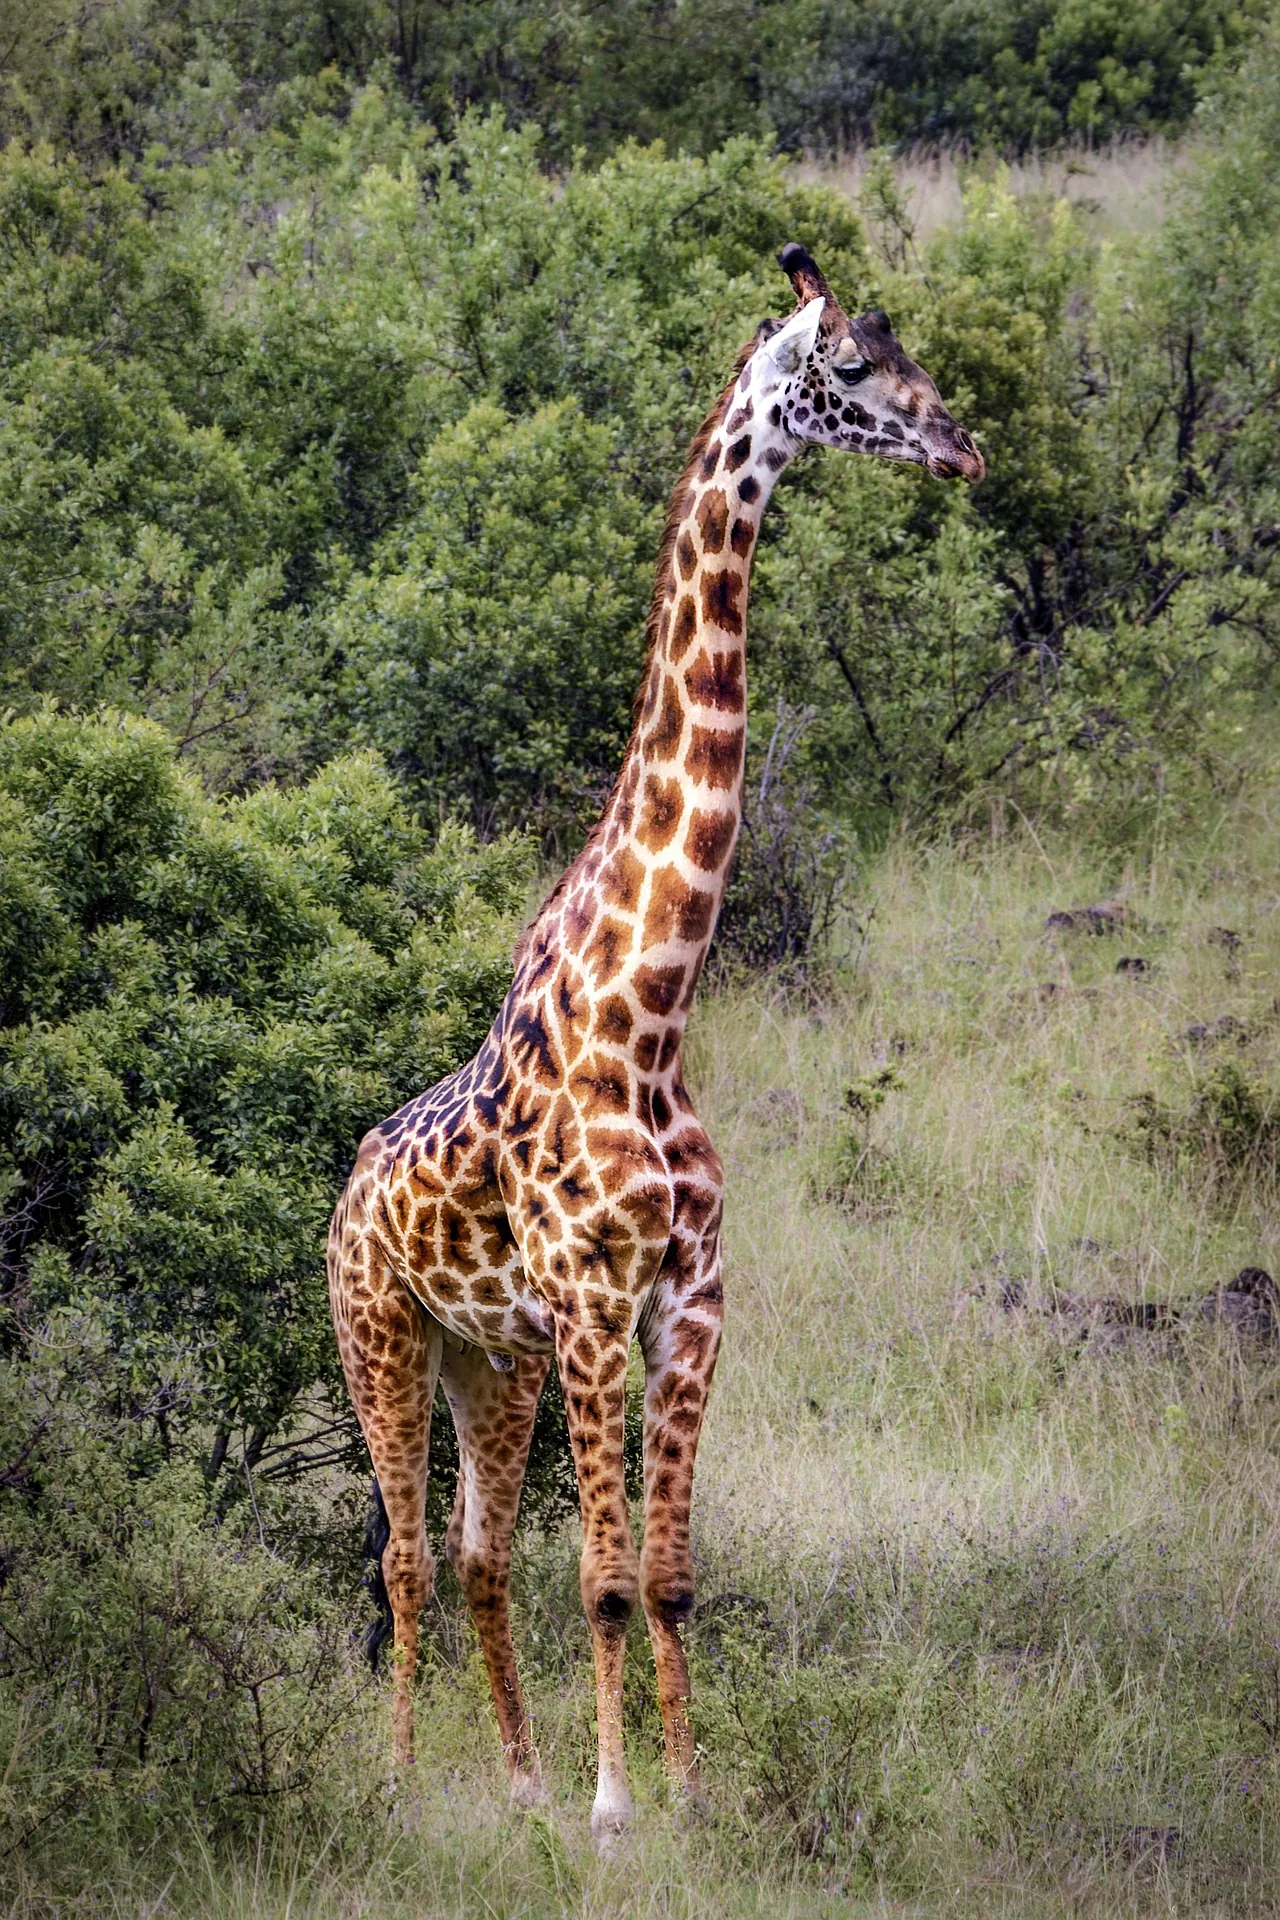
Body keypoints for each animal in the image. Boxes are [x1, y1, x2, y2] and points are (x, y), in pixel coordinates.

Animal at [328, 242, 984, 1841]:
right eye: (854, 367)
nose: (963, 445)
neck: (654, 1002)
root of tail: (345, 1186)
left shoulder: (688, 1298)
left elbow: (672, 1580)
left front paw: (682, 1795)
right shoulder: (589, 1297)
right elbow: (608, 1581)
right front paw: (618, 1810)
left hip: (486, 1363)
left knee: (478, 1553)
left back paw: (514, 1780)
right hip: (378, 1334)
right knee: (405, 1557)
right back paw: (400, 1780)